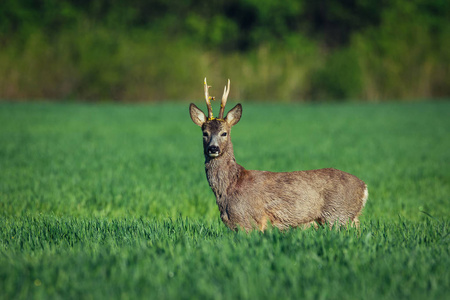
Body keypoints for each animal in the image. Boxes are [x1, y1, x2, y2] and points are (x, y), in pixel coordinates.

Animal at [188, 78, 368, 231]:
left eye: (224, 133)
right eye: (205, 133)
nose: (213, 148)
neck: (228, 188)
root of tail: (364, 187)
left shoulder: (250, 220)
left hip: (337, 215)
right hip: (347, 218)